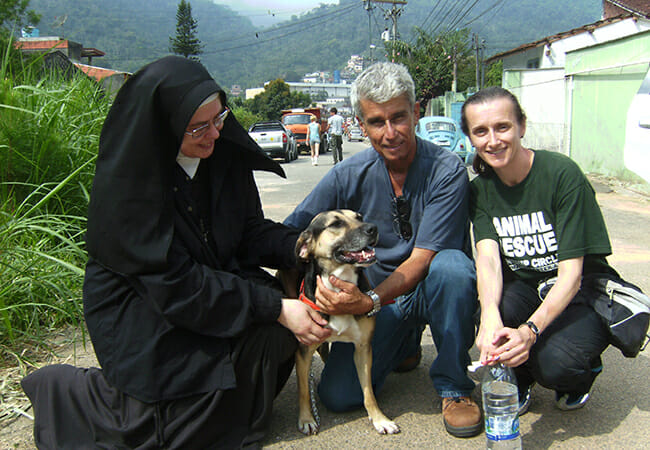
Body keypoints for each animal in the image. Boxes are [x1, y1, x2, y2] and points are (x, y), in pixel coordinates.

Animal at [294, 211, 400, 436]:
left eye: (359, 216)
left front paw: (380, 419)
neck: (338, 283)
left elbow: (369, 392)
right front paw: (306, 418)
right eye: (335, 224)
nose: (373, 228)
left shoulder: (363, 348)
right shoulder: (304, 351)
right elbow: (303, 390)